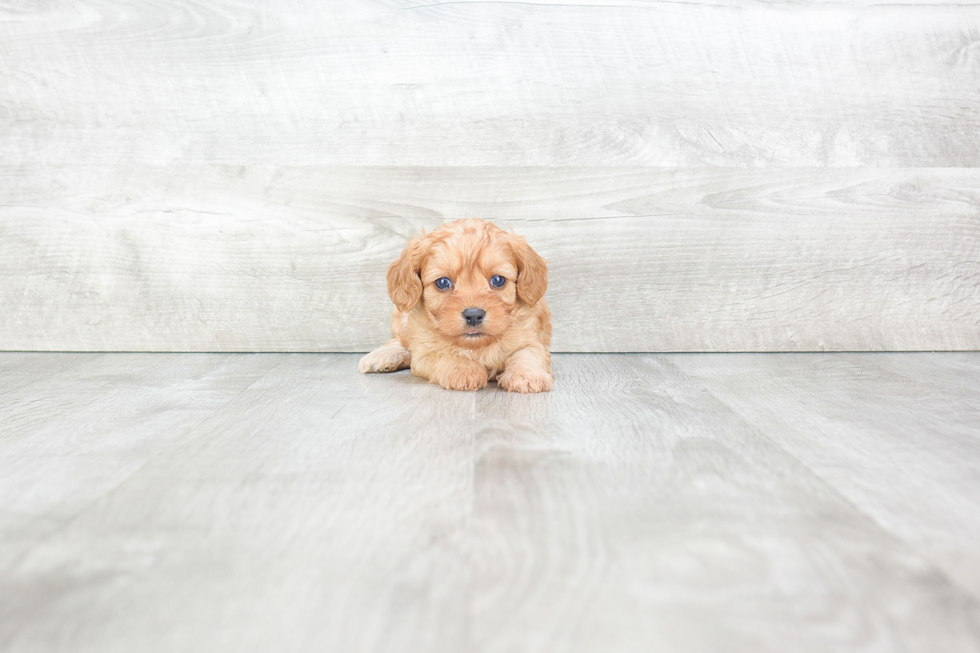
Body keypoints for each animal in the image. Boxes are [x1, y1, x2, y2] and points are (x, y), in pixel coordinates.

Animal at [362, 219, 552, 392]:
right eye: (443, 282)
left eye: (498, 280)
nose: (474, 315)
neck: (475, 345)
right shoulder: (424, 353)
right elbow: (443, 354)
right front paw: (464, 370)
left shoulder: (531, 339)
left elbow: (527, 354)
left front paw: (527, 376)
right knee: (400, 342)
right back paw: (380, 357)